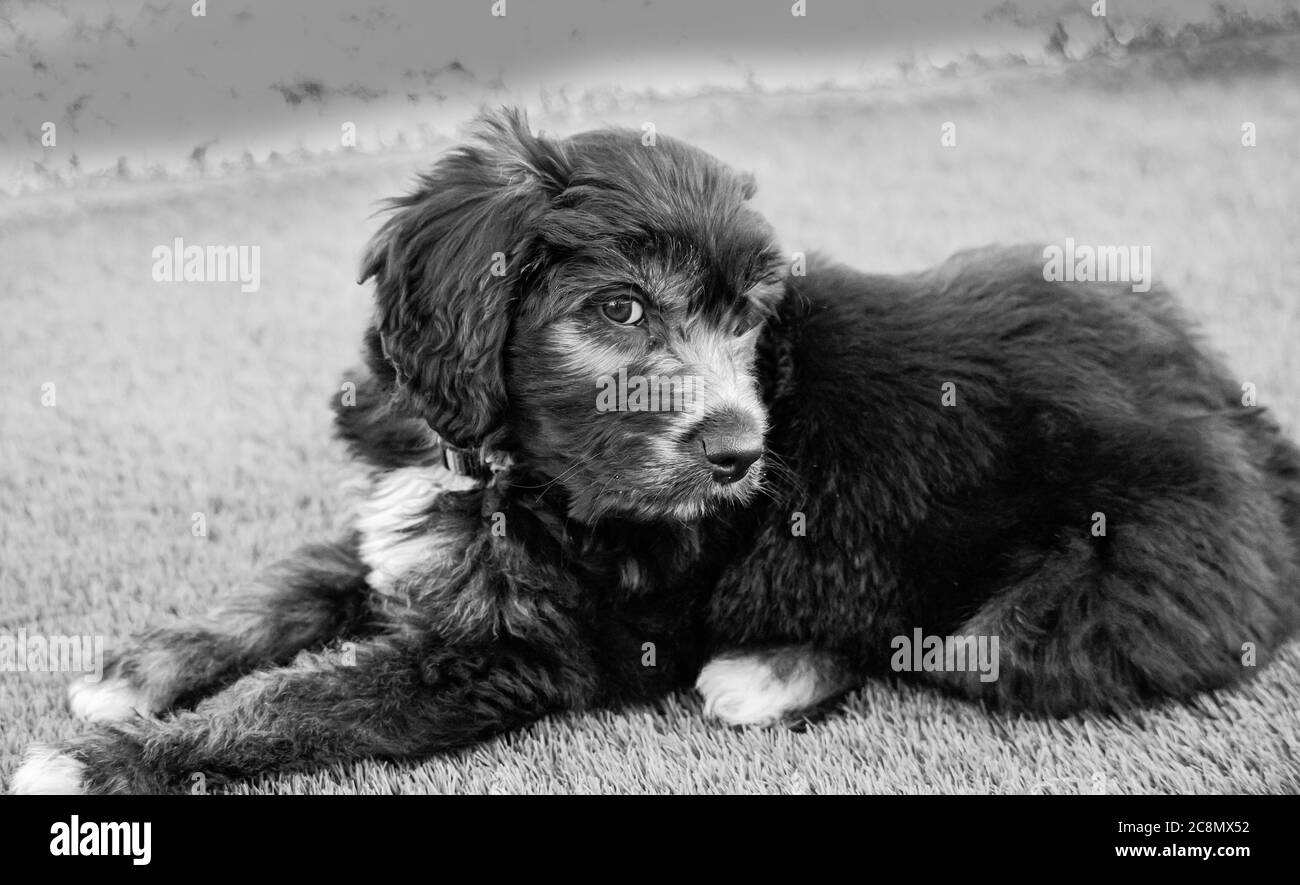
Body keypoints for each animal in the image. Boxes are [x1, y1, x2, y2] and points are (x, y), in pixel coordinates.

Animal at [12, 108, 1300, 795]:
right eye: (621, 308)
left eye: (749, 320)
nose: (741, 456)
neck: (512, 463)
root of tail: (1233, 405)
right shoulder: (410, 513)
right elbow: (291, 586)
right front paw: (140, 668)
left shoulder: (511, 655)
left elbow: (310, 703)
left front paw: (108, 763)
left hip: (1062, 602)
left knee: (932, 633)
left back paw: (767, 669)